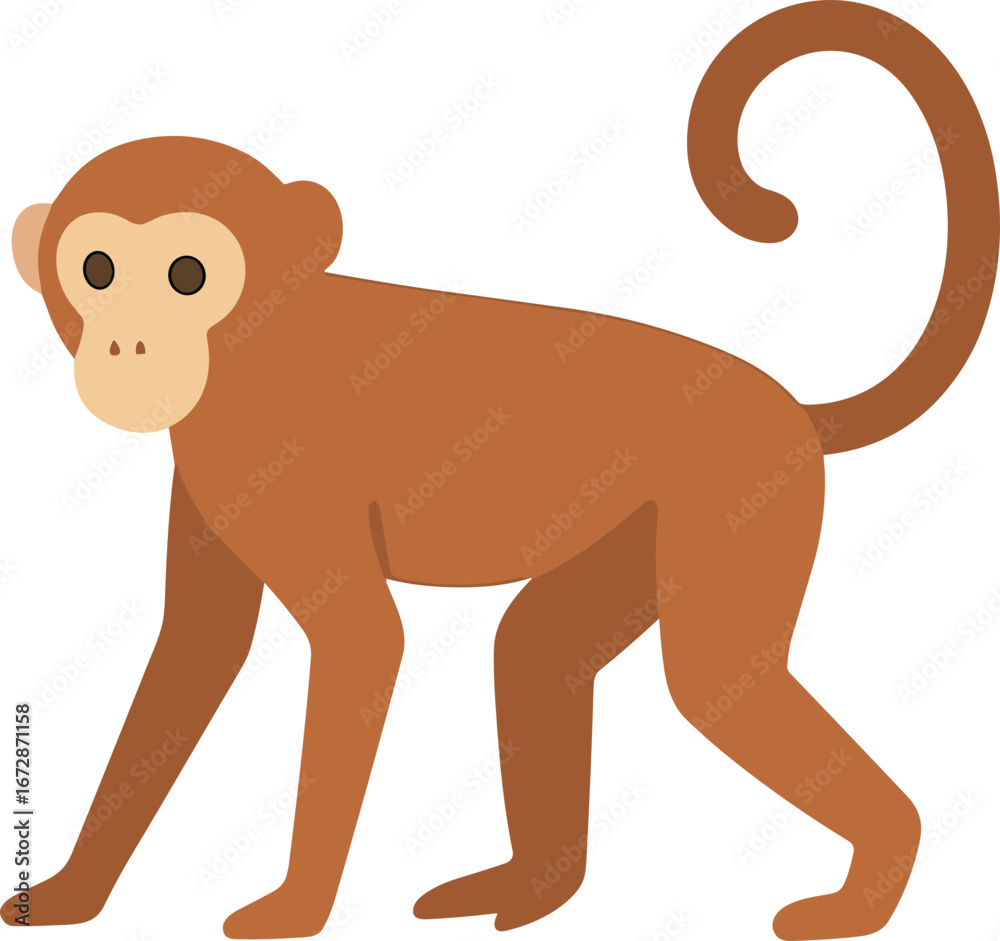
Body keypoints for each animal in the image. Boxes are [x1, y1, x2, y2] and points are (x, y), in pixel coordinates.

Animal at [3, 2, 997, 939]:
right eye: (98, 268)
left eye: (187, 274)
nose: (127, 345)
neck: (261, 348)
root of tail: (785, 405)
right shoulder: (210, 470)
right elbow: (193, 655)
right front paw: (74, 891)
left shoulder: (291, 469)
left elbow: (363, 640)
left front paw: (299, 905)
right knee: (537, 645)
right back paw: (537, 885)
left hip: (745, 491)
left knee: (718, 686)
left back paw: (874, 880)